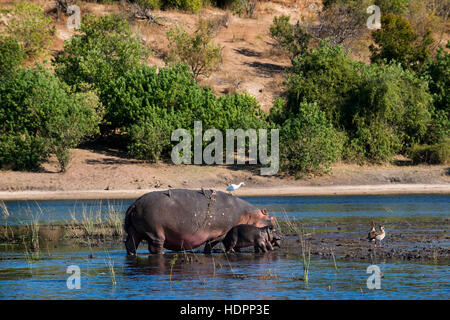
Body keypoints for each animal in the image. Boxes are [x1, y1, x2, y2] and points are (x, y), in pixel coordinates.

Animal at [123, 190, 272, 255]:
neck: (249, 214)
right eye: (270, 219)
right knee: (155, 247)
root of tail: (134, 204)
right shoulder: (222, 233)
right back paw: (162, 254)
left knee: (130, 244)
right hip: (155, 233)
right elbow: (214, 243)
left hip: (135, 231)